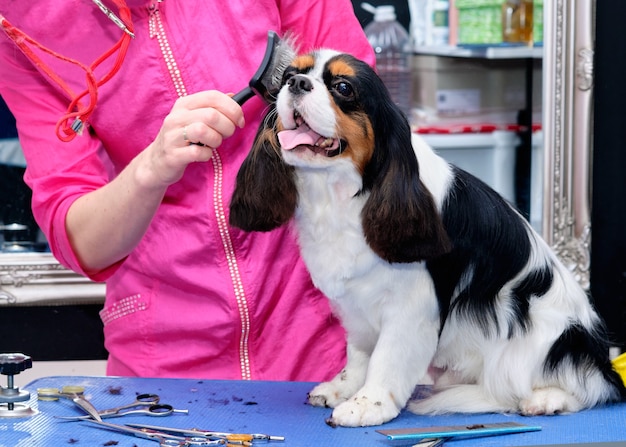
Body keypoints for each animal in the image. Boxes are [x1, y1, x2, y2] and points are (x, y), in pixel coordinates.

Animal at [229, 48, 624, 428]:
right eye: (286, 75)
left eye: (343, 88)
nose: (296, 84)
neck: (345, 192)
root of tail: (602, 357)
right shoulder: (356, 306)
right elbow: (358, 352)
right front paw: (344, 388)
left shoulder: (412, 307)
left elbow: (387, 358)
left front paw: (368, 404)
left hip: (544, 335)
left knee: (590, 387)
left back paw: (547, 399)